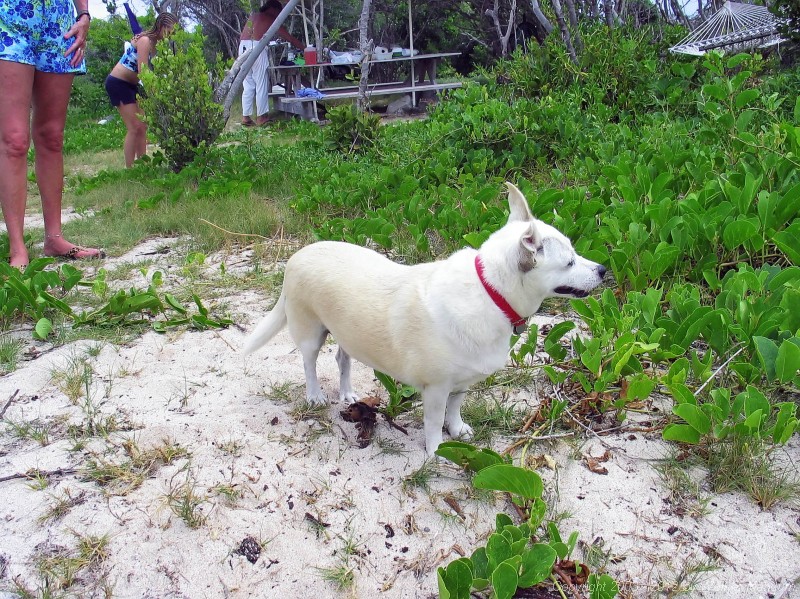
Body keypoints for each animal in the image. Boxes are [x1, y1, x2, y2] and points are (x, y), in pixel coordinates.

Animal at [244, 183, 608, 454]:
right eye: (569, 262)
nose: (604, 269)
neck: (490, 291)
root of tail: (298, 254)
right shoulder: (435, 389)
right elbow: (433, 423)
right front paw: (435, 453)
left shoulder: (461, 383)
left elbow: (456, 408)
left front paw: (457, 430)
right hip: (310, 332)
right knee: (309, 362)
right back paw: (315, 395)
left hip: (347, 331)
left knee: (342, 358)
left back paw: (347, 394)